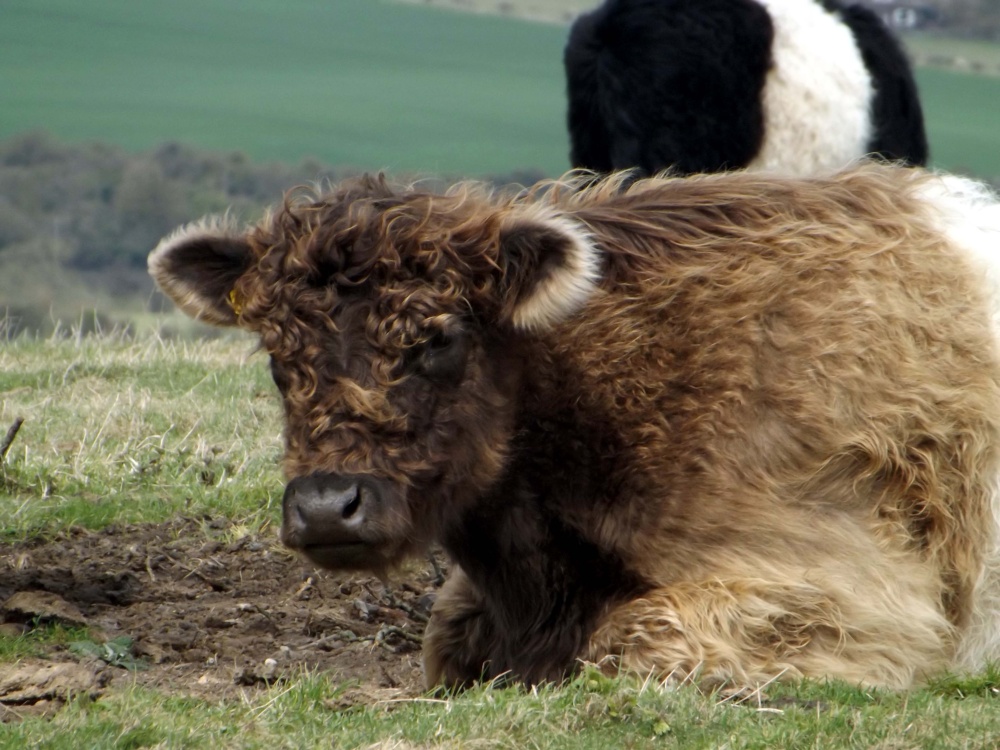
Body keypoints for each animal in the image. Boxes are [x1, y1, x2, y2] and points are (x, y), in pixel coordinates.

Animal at [149, 163, 1000, 690]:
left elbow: (631, 639)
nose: (329, 506)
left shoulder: (861, 592)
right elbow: (445, 638)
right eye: (275, 355)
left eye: (438, 340)